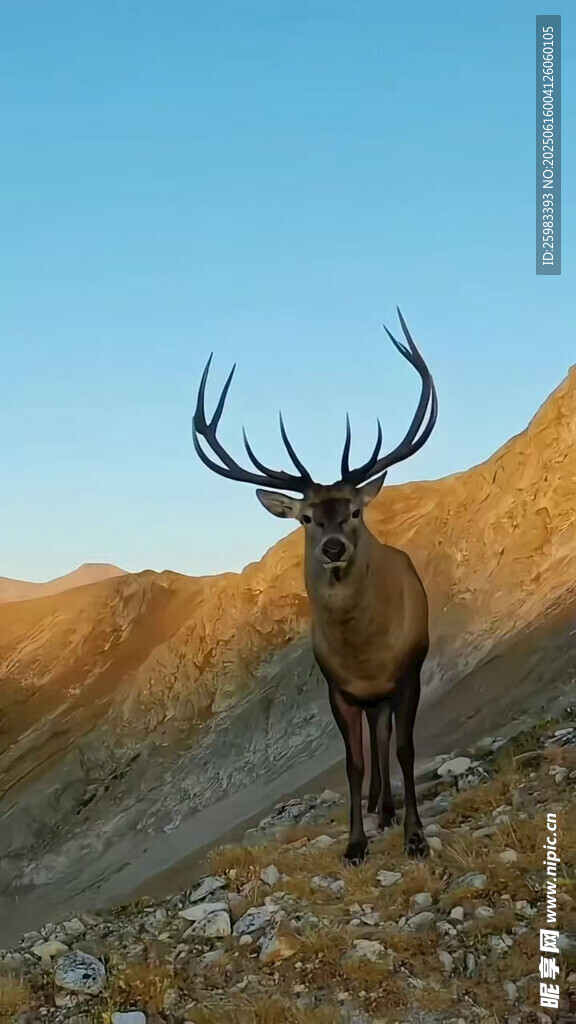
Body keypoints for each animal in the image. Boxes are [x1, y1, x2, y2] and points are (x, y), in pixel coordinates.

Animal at [192, 309, 438, 864]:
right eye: (305, 517)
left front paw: (415, 836)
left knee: (386, 736)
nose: (332, 548)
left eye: (355, 511)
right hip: (367, 700)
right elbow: (352, 762)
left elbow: (407, 747)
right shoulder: (337, 688)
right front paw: (354, 843)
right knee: (374, 739)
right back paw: (378, 808)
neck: (364, 653)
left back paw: (390, 811)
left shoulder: (408, 672)